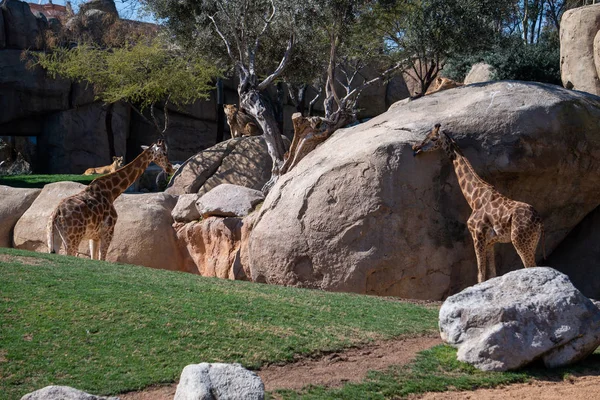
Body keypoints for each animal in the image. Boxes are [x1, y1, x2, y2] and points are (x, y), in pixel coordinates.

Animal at [412, 123, 544, 282]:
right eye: (426, 135)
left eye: (433, 138)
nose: (415, 147)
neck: (474, 198)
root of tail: (538, 220)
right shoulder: (491, 241)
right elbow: (492, 273)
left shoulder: (477, 235)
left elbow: (480, 274)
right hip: (532, 242)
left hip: (520, 241)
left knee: (531, 266)